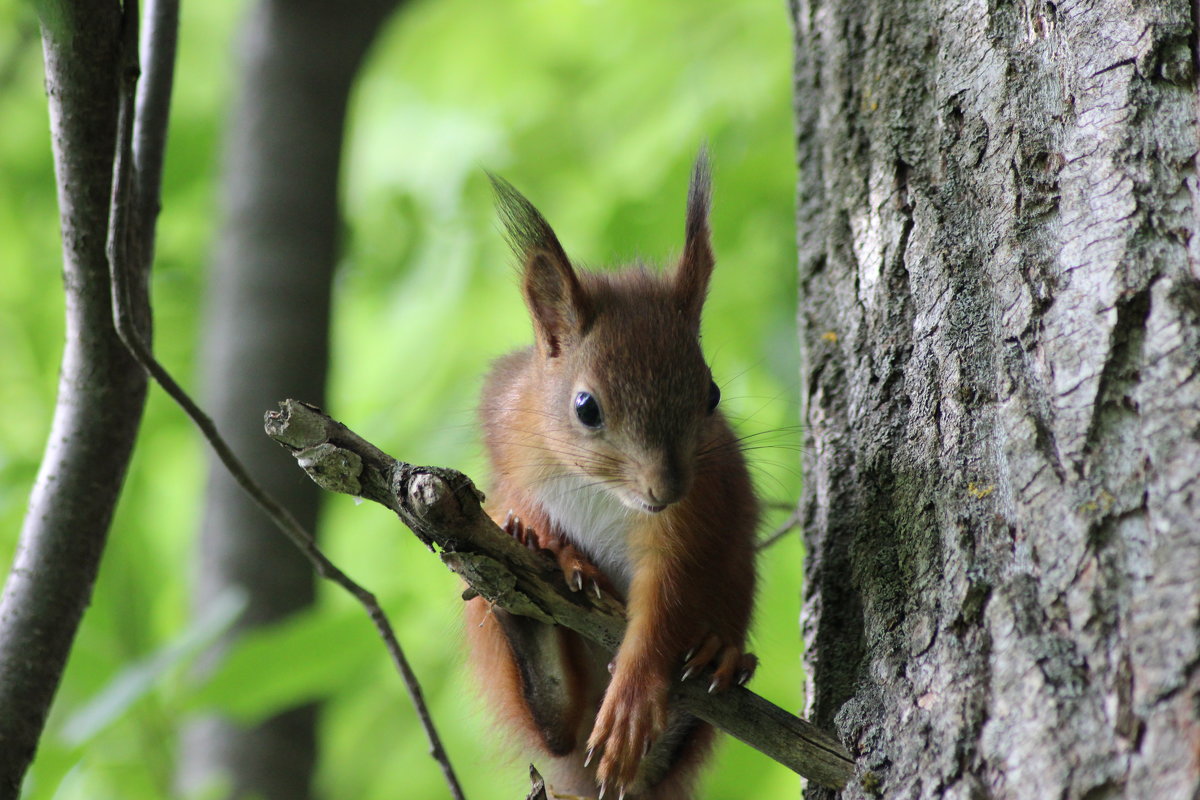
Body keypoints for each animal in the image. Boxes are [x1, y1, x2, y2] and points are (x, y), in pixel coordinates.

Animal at [463, 151, 753, 800]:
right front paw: (554, 546)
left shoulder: (697, 511)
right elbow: (520, 496)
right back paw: (529, 633)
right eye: (586, 407)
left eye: (712, 395)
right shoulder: (505, 425)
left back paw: (720, 658)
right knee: (554, 731)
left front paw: (636, 695)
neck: (602, 490)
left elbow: (669, 594)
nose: (666, 489)